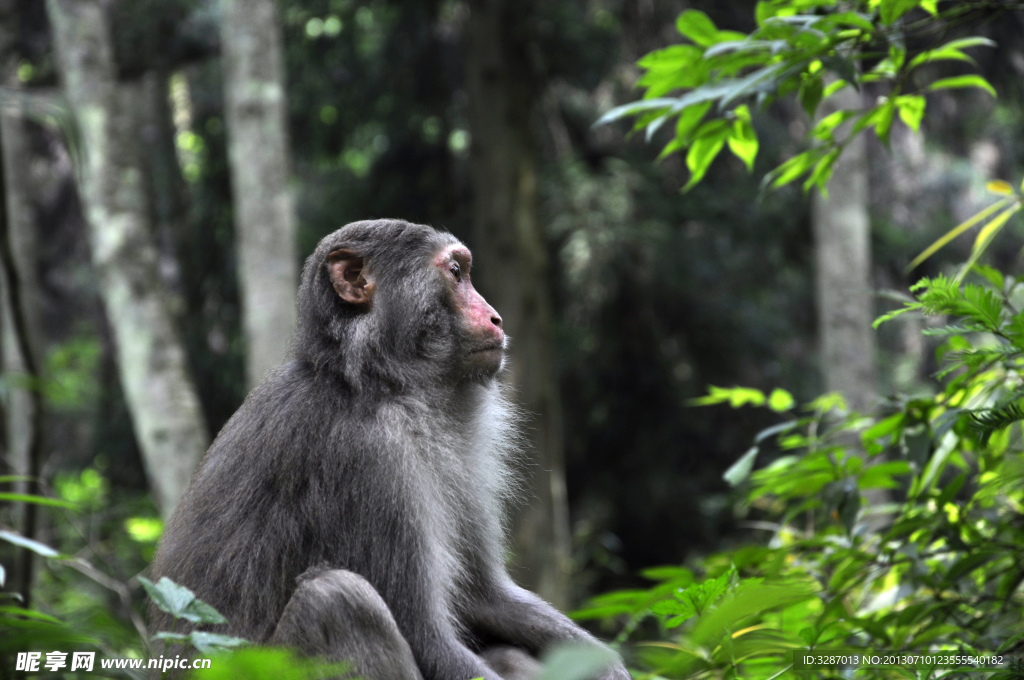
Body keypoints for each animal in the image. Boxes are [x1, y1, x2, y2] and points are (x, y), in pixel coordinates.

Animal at [148, 219, 626, 680]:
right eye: (456, 272)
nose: (496, 318)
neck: (378, 384)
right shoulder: (369, 458)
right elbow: (425, 636)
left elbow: (482, 597)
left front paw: (607, 666)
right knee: (336, 598)